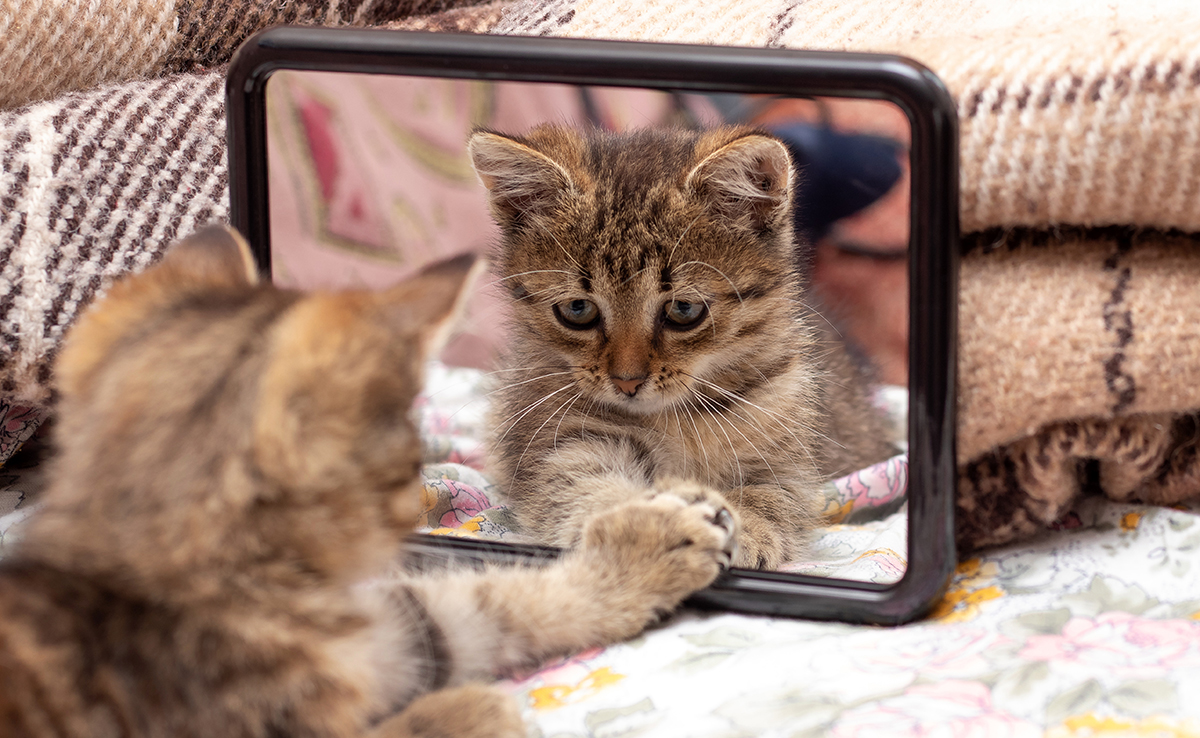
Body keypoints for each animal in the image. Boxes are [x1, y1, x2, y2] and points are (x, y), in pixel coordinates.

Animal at [0, 228, 734, 734]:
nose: (416, 504)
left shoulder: (394, 627)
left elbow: (495, 600)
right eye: (405, 459)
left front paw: (656, 536)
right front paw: (474, 708)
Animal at [468, 124, 892, 568]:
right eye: (577, 309)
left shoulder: (790, 456)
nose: (627, 381)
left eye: (684, 309)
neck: (679, 416)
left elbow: (774, 495)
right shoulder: (556, 437)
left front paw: (746, 528)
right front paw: (651, 527)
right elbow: (579, 487)